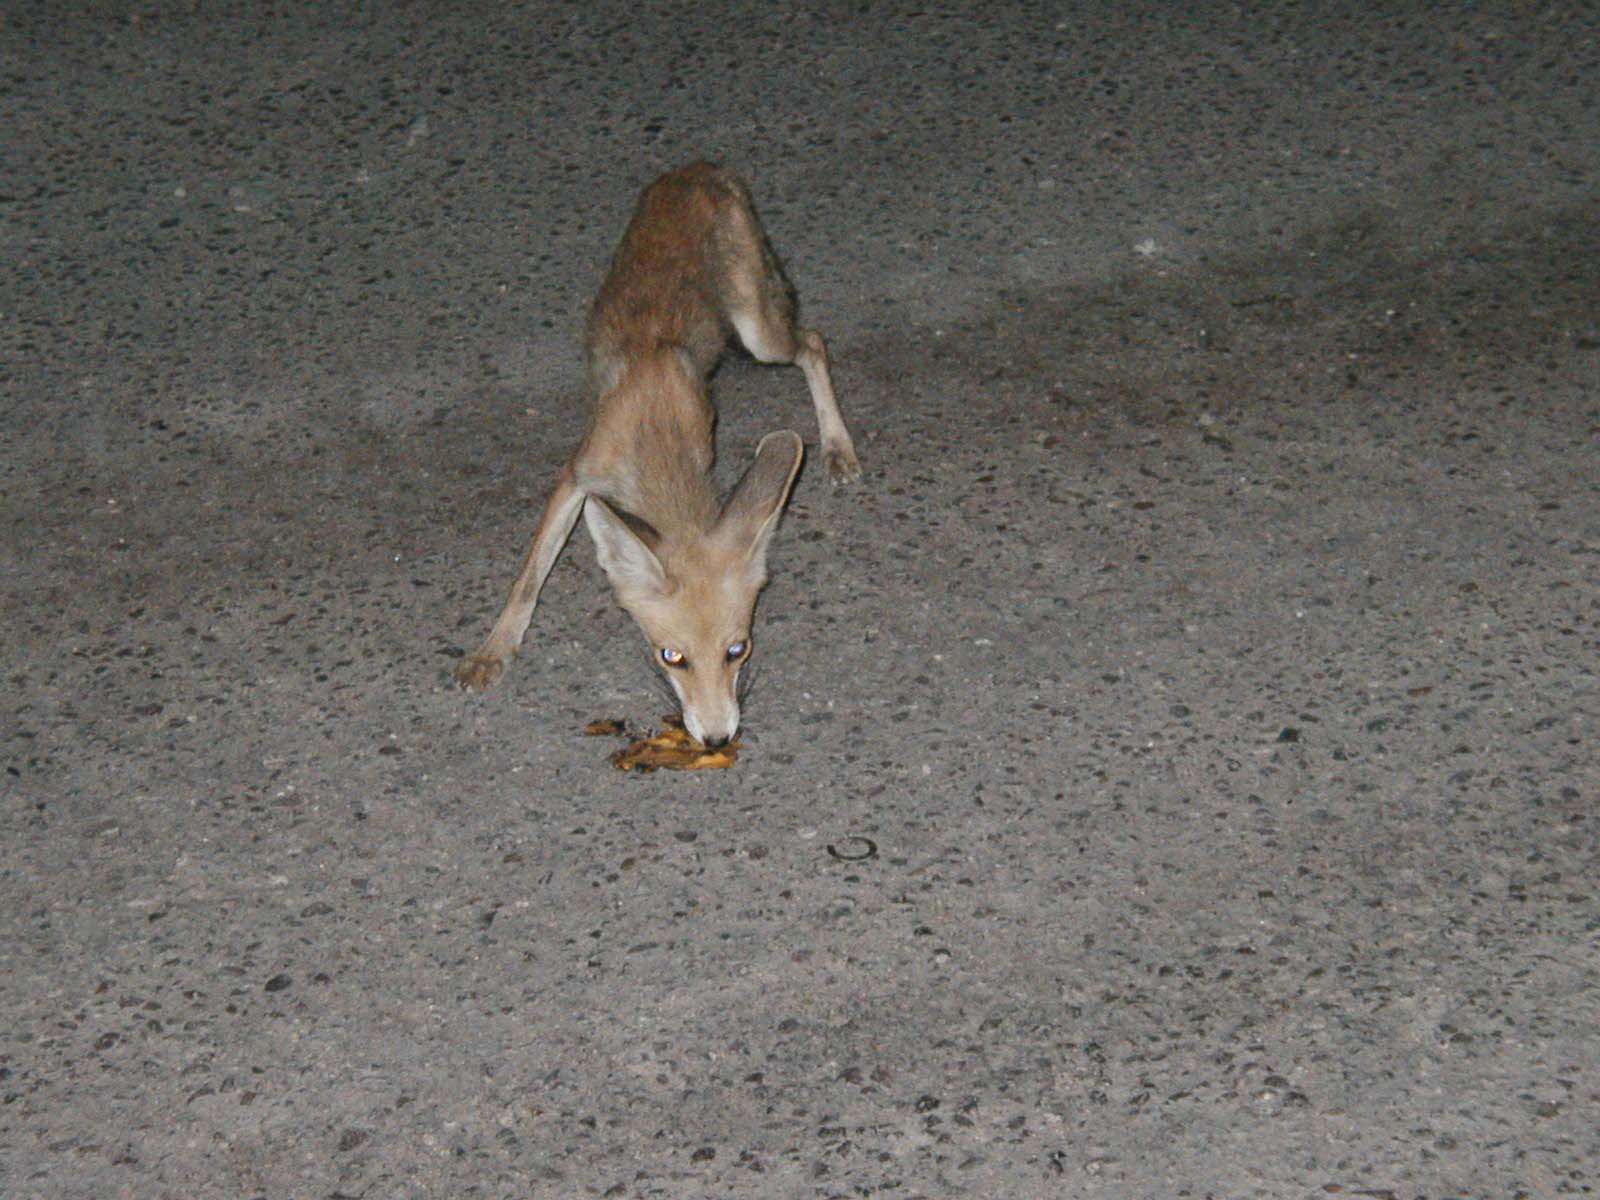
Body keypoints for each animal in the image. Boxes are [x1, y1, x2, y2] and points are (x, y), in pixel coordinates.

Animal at [454, 161, 861, 747]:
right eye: (671, 657)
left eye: (738, 650)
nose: (717, 740)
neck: (654, 425)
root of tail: (704, 167)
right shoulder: (576, 474)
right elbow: (527, 579)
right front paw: (493, 650)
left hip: (757, 333)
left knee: (812, 343)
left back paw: (837, 445)